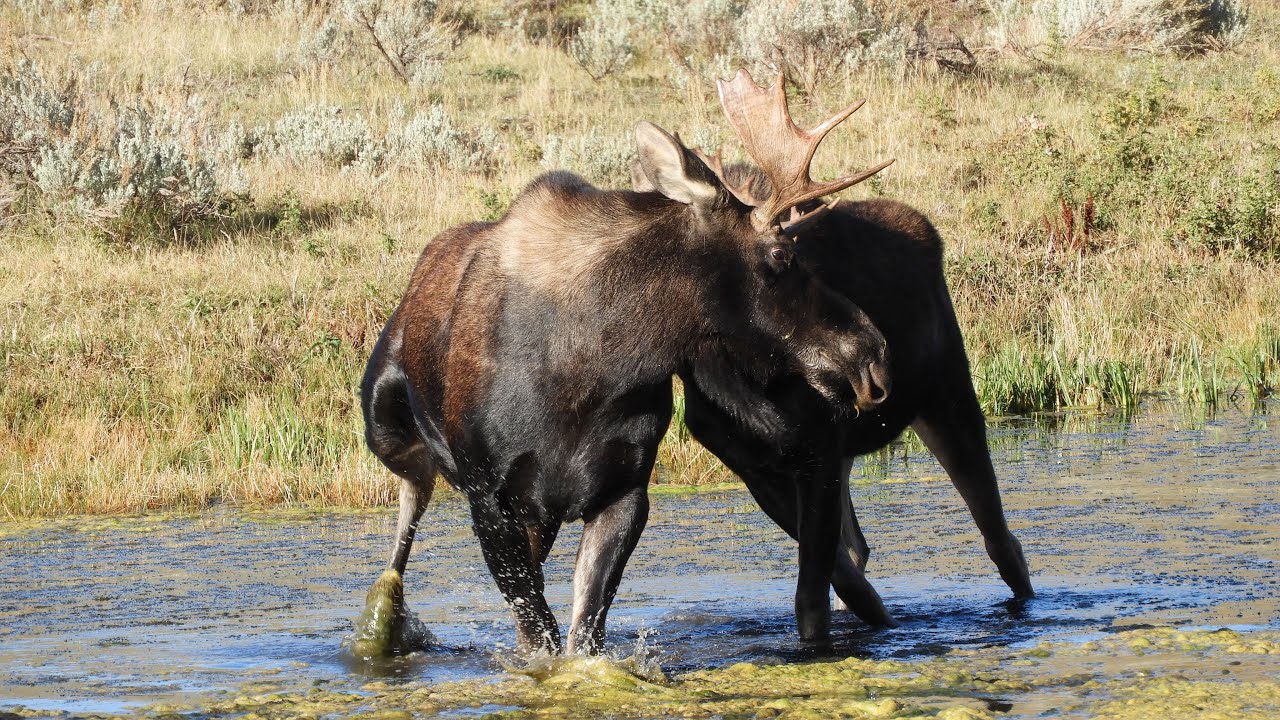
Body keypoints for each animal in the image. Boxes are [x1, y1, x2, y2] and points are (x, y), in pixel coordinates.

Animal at [355, 94, 894, 655]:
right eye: (782, 253)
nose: (872, 351)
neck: (588, 373)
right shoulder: (489, 497)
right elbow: (539, 633)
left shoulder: (624, 493)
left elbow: (581, 633)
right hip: (386, 427)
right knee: (409, 508)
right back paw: (382, 618)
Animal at [662, 70, 1034, 634]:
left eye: (792, 254)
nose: (874, 354)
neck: (744, 385)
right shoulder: (755, 466)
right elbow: (838, 572)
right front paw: (871, 611)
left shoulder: (820, 446)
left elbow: (811, 596)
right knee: (861, 545)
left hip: (948, 395)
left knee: (1001, 540)